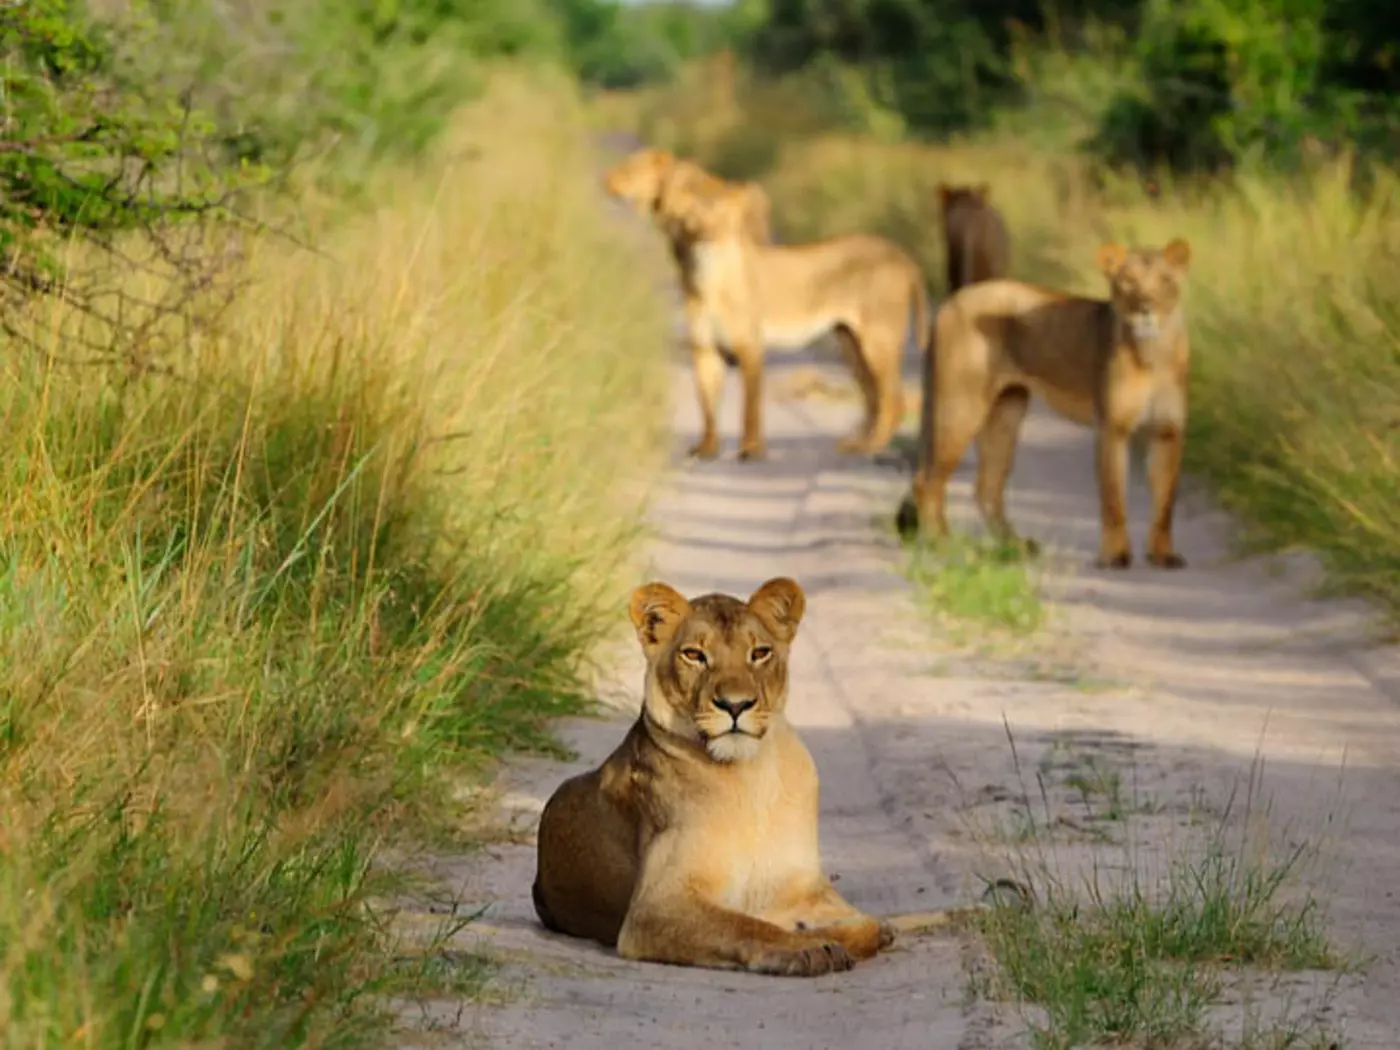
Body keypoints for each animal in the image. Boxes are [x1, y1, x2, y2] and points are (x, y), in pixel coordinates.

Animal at [531, 576, 898, 976]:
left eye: (760, 653)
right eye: (694, 655)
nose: (735, 705)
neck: (750, 776)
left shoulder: (802, 886)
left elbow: (870, 925)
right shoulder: (654, 907)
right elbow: (746, 924)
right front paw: (809, 947)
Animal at [657, 177, 929, 461]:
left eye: (722, 218)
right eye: (690, 219)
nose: (707, 235)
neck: (707, 277)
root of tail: (900, 253)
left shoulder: (750, 347)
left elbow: (750, 407)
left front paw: (751, 449)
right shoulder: (705, 350)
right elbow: (707, 408)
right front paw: (707, 448)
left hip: (878, 340)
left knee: (893, 399)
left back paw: (870, 447)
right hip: (851, 343)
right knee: (875, 397)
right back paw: (858, 444)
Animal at [895, 238, 1193, 570]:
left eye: (1165, 281)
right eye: (1128, 282)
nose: (1145, 309)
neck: (1153, 352)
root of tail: (951, 301)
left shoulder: (1168, 432)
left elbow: (1166, 501)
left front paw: (1163, 554)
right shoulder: (1112, 429)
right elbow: (1114, 497)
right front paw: (1115, 555)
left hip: (1006, 412)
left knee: (985, 487)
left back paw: (1015, 546)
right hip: (961, 407)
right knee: (927, 481)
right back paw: (943, 544)